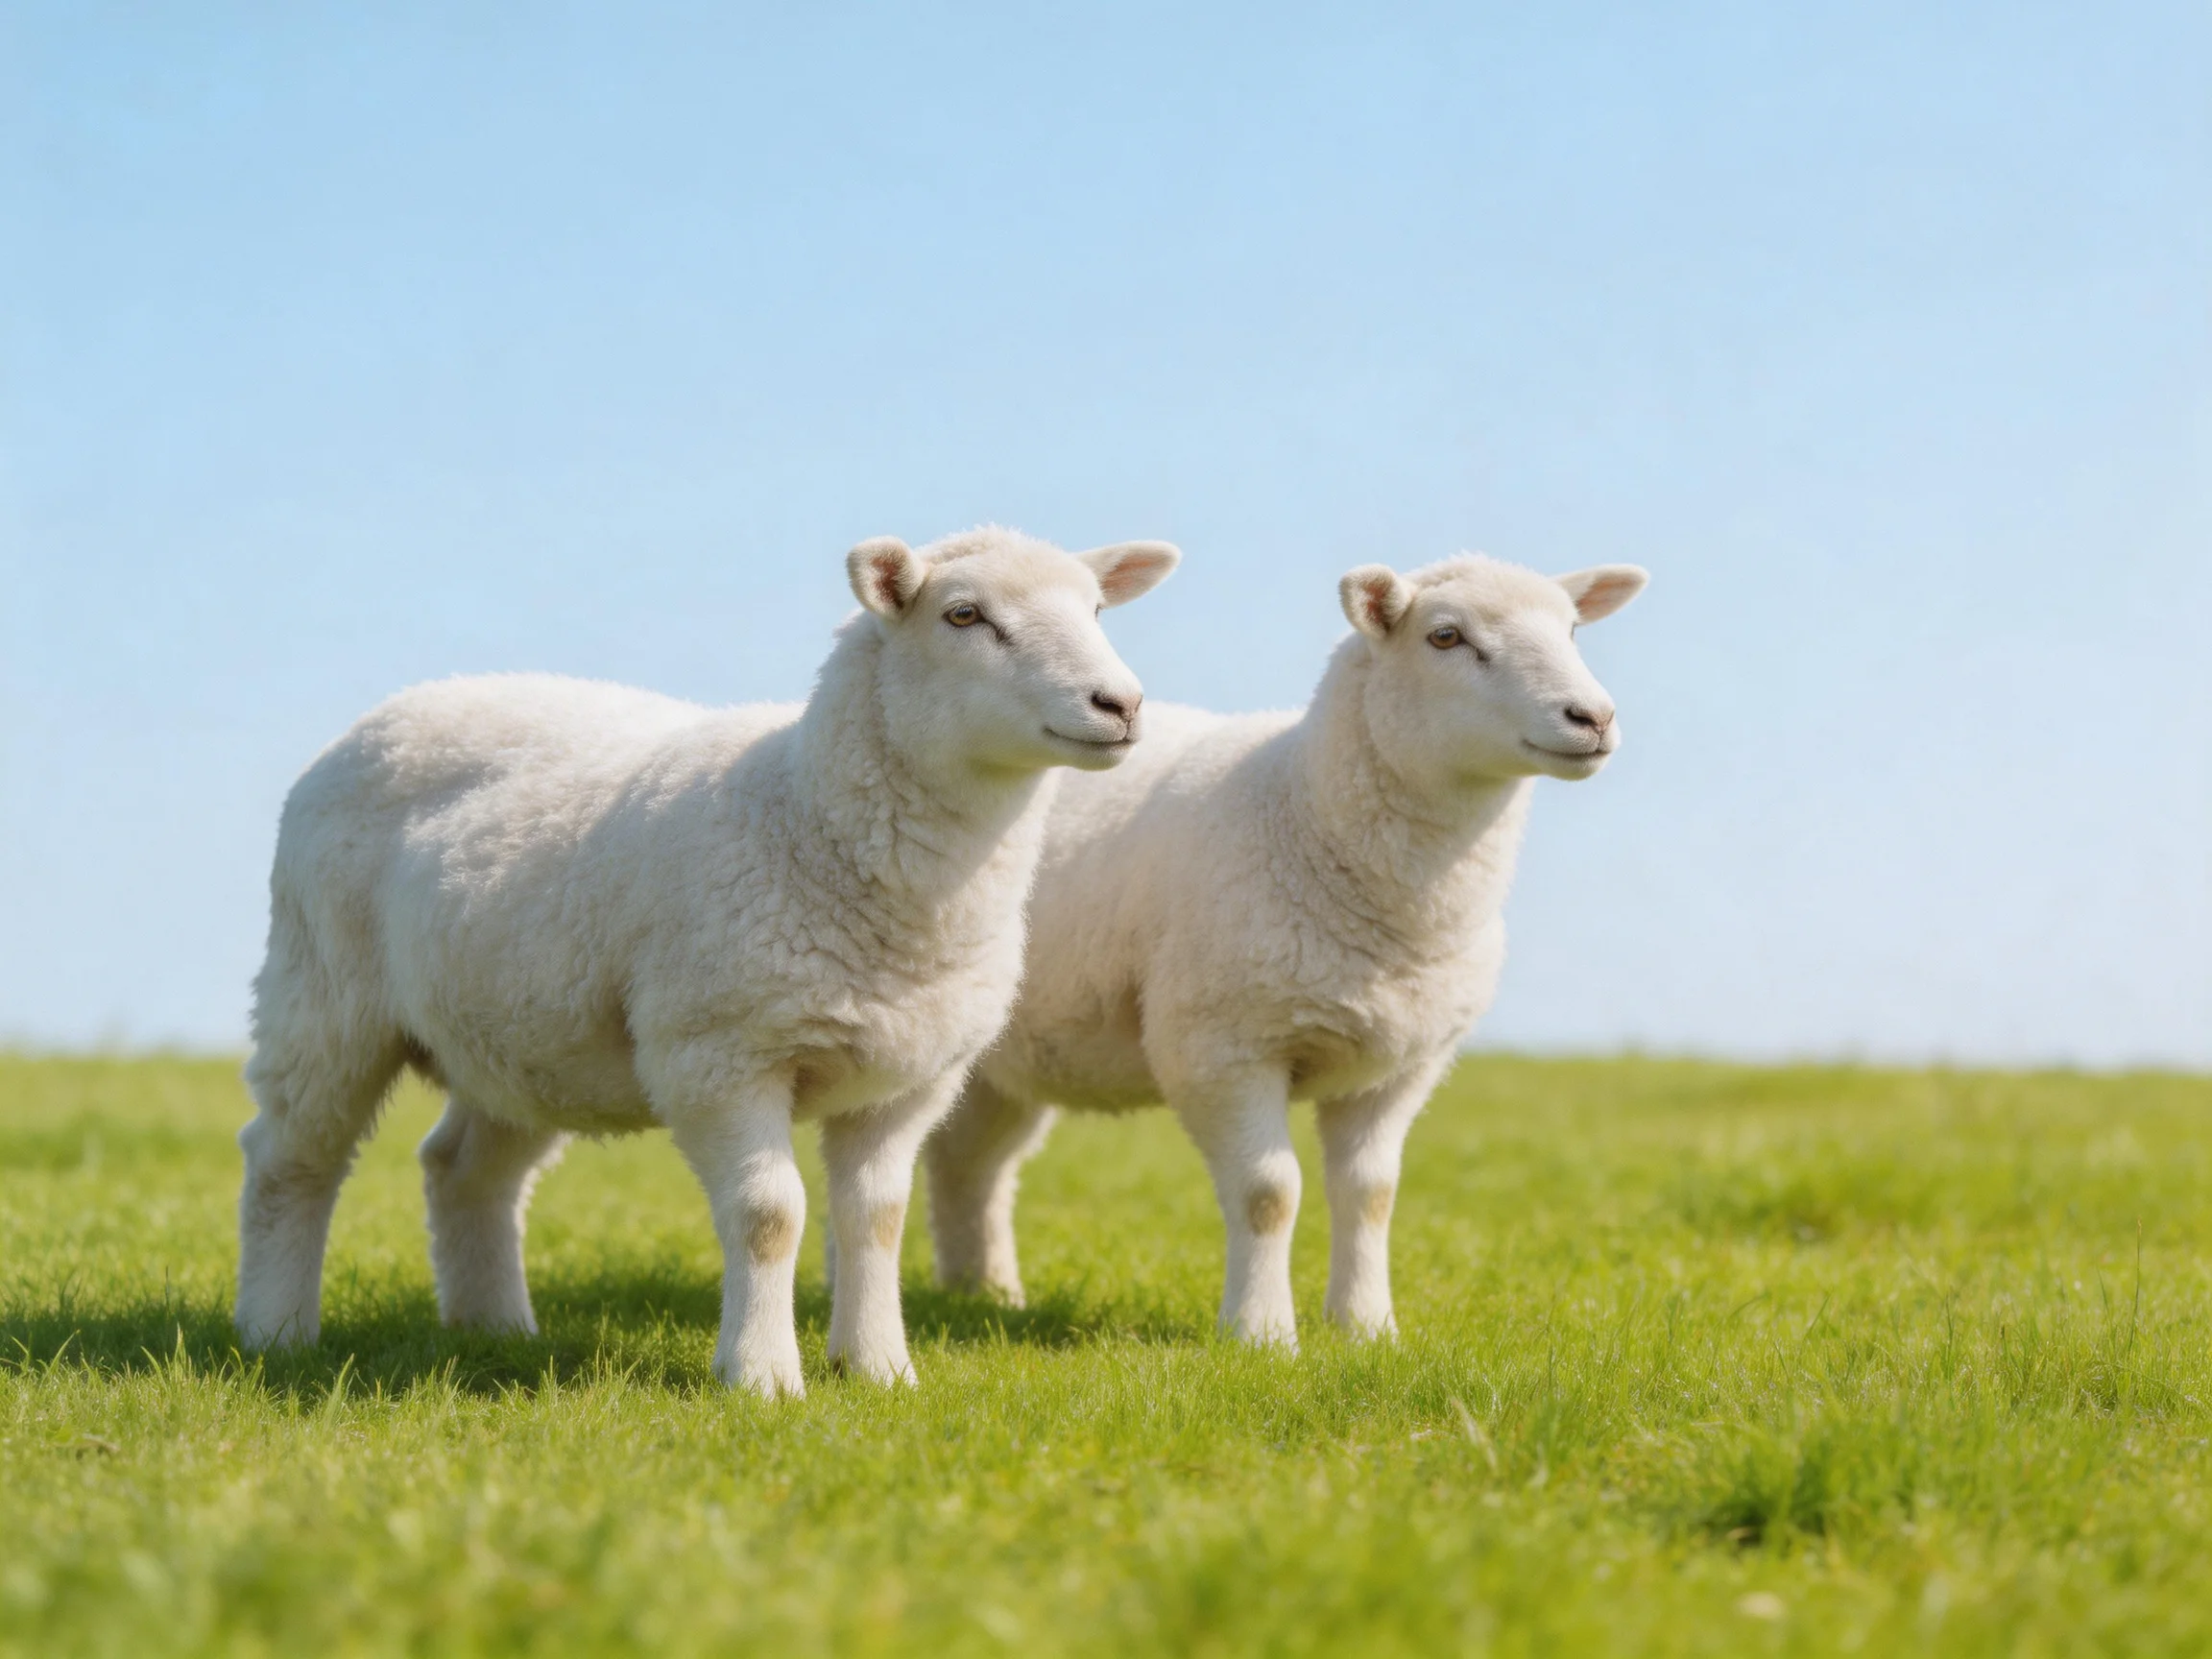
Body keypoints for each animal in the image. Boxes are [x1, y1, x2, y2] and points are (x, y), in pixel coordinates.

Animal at [234, 526, 1180, 1395]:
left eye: (1097, 611)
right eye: (963, 615)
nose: (1120, 705)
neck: (810, 816)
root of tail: (401, 706)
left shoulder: (908, 1076)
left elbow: (876, 1218)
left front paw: (880, 1369)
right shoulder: (720, 1052)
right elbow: (769, 1215)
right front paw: (761, 1377)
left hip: (520, 1031)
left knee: (464, 1170)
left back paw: (496, 1330)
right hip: (322, 993)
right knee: (290, 1158)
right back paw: (275, 1331)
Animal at [923, 553, 1646, 1344]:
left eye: (1572, 629)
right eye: (1446, 636)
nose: (1594, 718)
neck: (1305, 812)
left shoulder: (1401, 1066)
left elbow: (1371, 1193)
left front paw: (1367, 1328)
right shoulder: (1219, 1048)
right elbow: (1268, 1192)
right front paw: (1262, 1333)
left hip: (1002, 1061)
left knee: (970, 1163)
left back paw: (985, 1295)